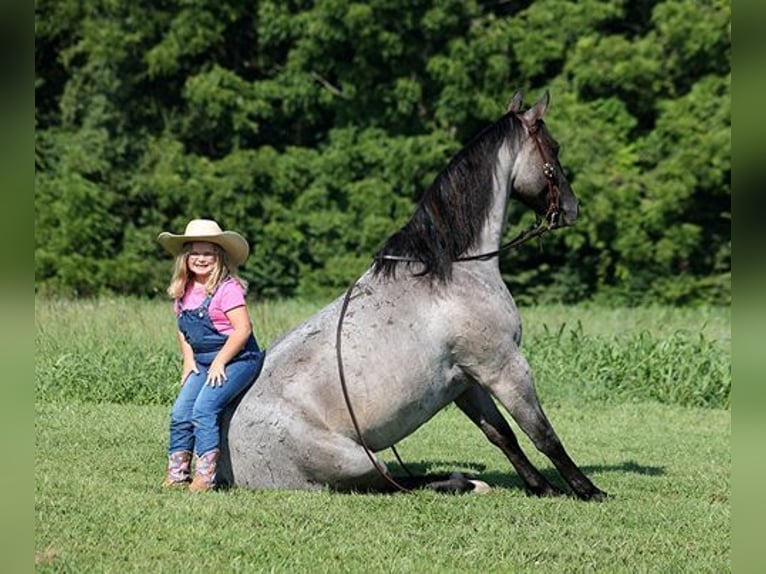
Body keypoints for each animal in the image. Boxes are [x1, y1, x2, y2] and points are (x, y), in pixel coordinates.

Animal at [219, 92, 608, 502]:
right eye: (554, 147)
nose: (571, 208)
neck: (454, 270)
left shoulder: (466, 380)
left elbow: (502, 436)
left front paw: (540, 487)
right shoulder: (505, 367)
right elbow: (542, 434)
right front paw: (587, 490)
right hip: (358, 461)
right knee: (393, 483)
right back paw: (463, 482)